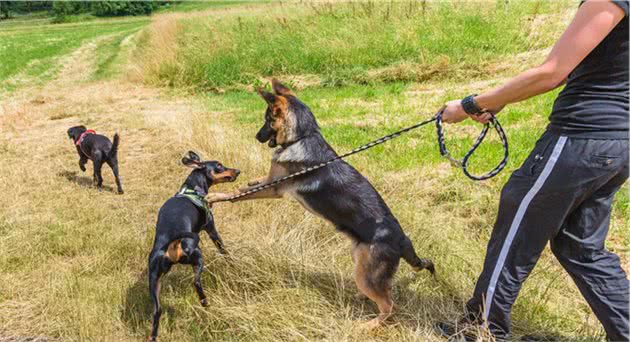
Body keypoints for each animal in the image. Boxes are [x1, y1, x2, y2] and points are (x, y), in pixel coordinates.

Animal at [147, 151, 241, 340]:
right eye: (219, 165)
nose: (238, 171)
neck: (192, 189)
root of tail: (173, 242)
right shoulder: (211, 228)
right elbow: (223, 248)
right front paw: (231, 261)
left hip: (154, 279)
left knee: (157, 311)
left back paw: (153, 336)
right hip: (197, 257)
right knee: (196, 282)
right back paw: (205, 302)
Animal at [210, 80, 436, 328]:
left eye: (268, 119)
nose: (257, 136)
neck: (302, 137)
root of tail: (402, 239)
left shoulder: (274, 189)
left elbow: (236, 195)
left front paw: (215, 197)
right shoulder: (271, 180)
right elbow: (252, 184)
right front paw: (246, 182)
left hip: (366, 274)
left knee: (390, 306)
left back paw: (369, 325)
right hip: (360, 262)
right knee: (383, 293)